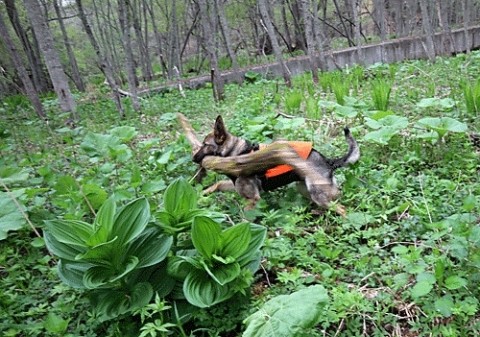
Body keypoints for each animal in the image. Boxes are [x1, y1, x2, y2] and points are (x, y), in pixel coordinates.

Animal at [193, 117, 358, 214]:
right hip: (304, 189)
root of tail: (328, 161)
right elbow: (219, 184)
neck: (236, 152)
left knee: (343, 209)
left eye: (205, 145)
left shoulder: (253, 199)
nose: (193, 158)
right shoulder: (235, 186)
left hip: (318, 195)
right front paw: (202, 193)